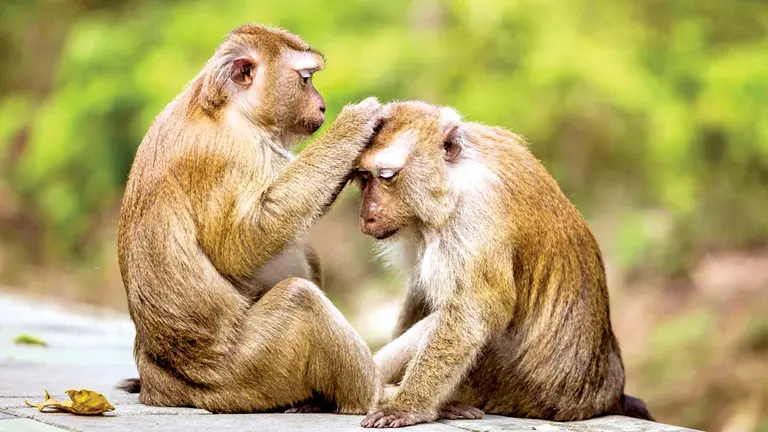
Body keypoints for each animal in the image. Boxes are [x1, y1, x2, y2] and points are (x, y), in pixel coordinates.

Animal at [116, 24, 383, 414]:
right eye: (305, 79)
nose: (322, 105)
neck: (228, 108)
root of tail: (166, 386)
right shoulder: (225, 156)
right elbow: (240, 246)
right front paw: (352, 127)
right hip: (249, 372)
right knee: (300, 300)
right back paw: (376, 399)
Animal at [353, 101, 654, 428]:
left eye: (386, 176)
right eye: (363, 178)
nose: (366, 214)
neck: (455, 176)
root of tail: (604, 396)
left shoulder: (473, 213)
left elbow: (468, 317)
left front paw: (407, 406)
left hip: (511, 387)